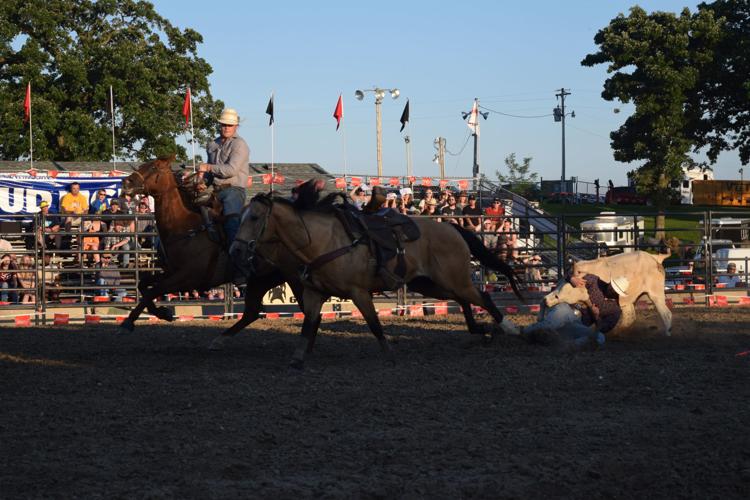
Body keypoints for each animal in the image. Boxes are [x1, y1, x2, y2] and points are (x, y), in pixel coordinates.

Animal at [119, 156, 304, 344]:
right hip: (263, 279)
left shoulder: (187, 278)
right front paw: (163, 313)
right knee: (252, 313)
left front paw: (129, 321)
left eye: (154, 167)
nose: (126, 182)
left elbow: (153, 291)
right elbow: (143, 285)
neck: (184, 228)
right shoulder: (171, 273)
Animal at [232, 182, 524, 370]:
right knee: (466, 299)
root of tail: (452, 228)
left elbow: (373, 324)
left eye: (255, 217)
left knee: (482, 296)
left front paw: (390, 354)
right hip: (431, 284)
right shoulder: (315, 293)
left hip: (453, 280)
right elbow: (308, 325)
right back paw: (481, 330)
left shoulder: (359, 292)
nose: (235, 249)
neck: (322, 241)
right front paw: (297, 358)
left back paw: (509, 328)